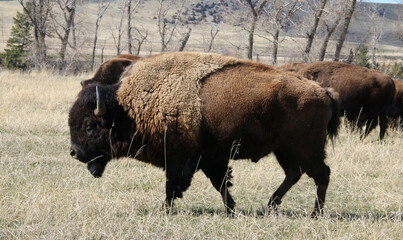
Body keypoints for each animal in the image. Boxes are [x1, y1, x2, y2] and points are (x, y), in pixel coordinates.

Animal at [68, 52, 340, 218]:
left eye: (90, 125)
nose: (74, 152)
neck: (129, 107)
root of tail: (323, 91)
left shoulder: (179, 159)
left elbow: (173, 186)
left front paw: (164, 210)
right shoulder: (212, 159)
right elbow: (220, 184)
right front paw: (231, 210)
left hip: (305, 149)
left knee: (321, 174)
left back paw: (315, 213)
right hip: (284, 150)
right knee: (294, 173)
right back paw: (271, 205)